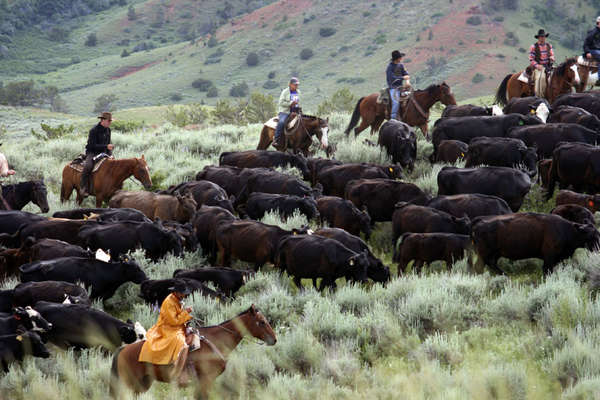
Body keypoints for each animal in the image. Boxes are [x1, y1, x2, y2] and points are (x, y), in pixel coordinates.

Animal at [109, 304, 276, 398]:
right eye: (262, 322)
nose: (274, 339)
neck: (217, 341)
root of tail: (123, 350)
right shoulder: (206, 380)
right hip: (132, 383)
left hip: (143, 384)